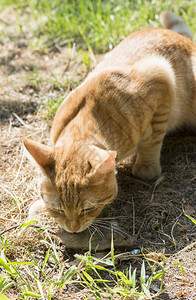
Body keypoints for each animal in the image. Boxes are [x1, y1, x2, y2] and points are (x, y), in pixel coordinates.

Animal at [24, 11, 196, 232]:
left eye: (87, 209)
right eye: (58, 210)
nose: (73, 229)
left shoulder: (160, 77)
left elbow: (153, 139)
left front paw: (146, 167)